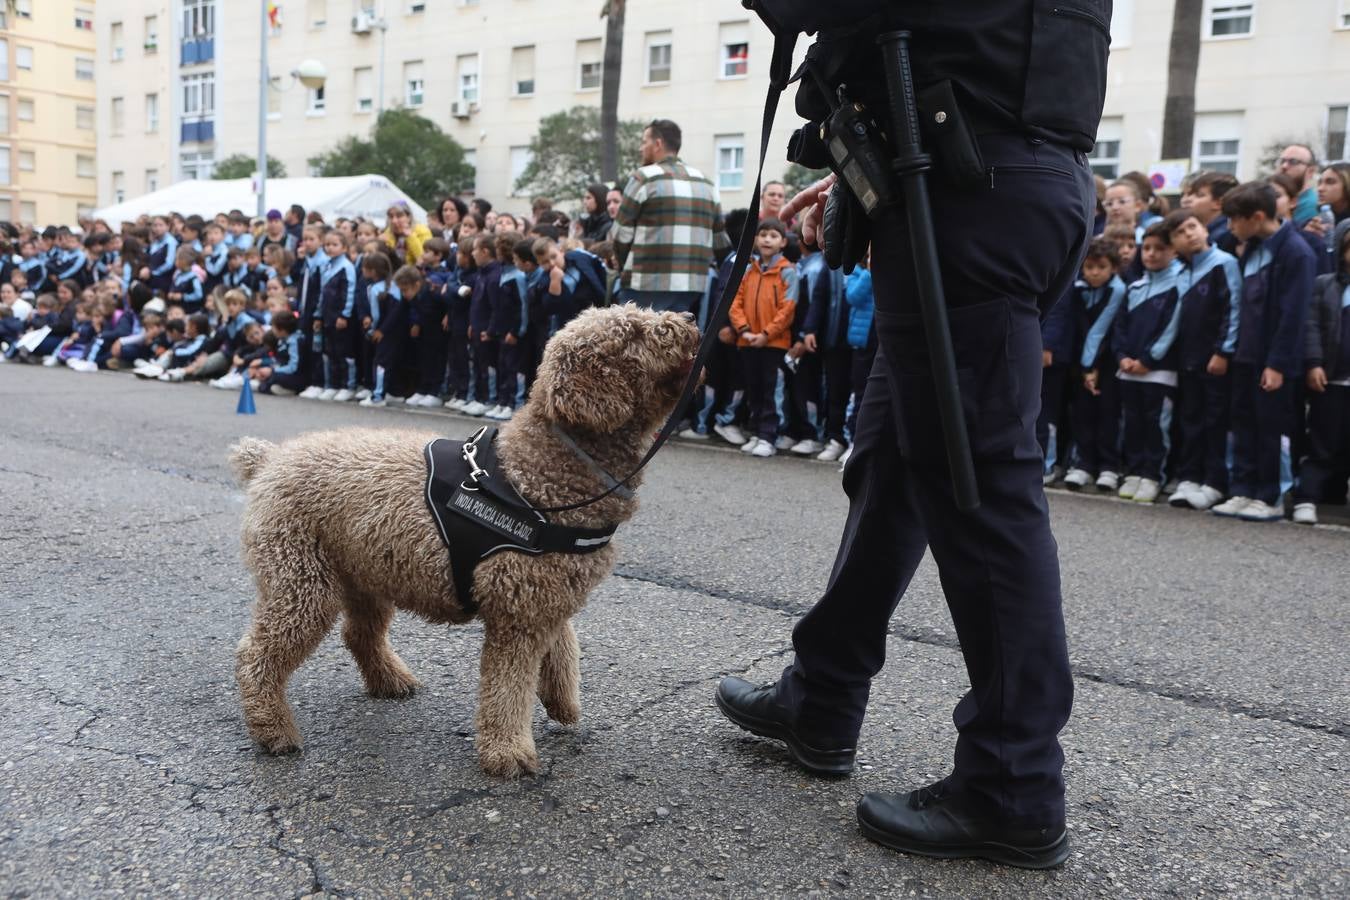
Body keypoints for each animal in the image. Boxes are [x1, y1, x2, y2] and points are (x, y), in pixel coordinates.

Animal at [229, 306, 696, 777]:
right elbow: (508, 687)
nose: (690, 321)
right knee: (256, 655)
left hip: (365, 572)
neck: (535, 476)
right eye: (632, 334)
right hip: (301, 581)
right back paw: (273, 730)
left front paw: (563, 703)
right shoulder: (519, 613)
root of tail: (268, 460)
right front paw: (508, 752)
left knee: (359, 635)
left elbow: (564, 649)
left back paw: (391, 680)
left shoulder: (547, 595)